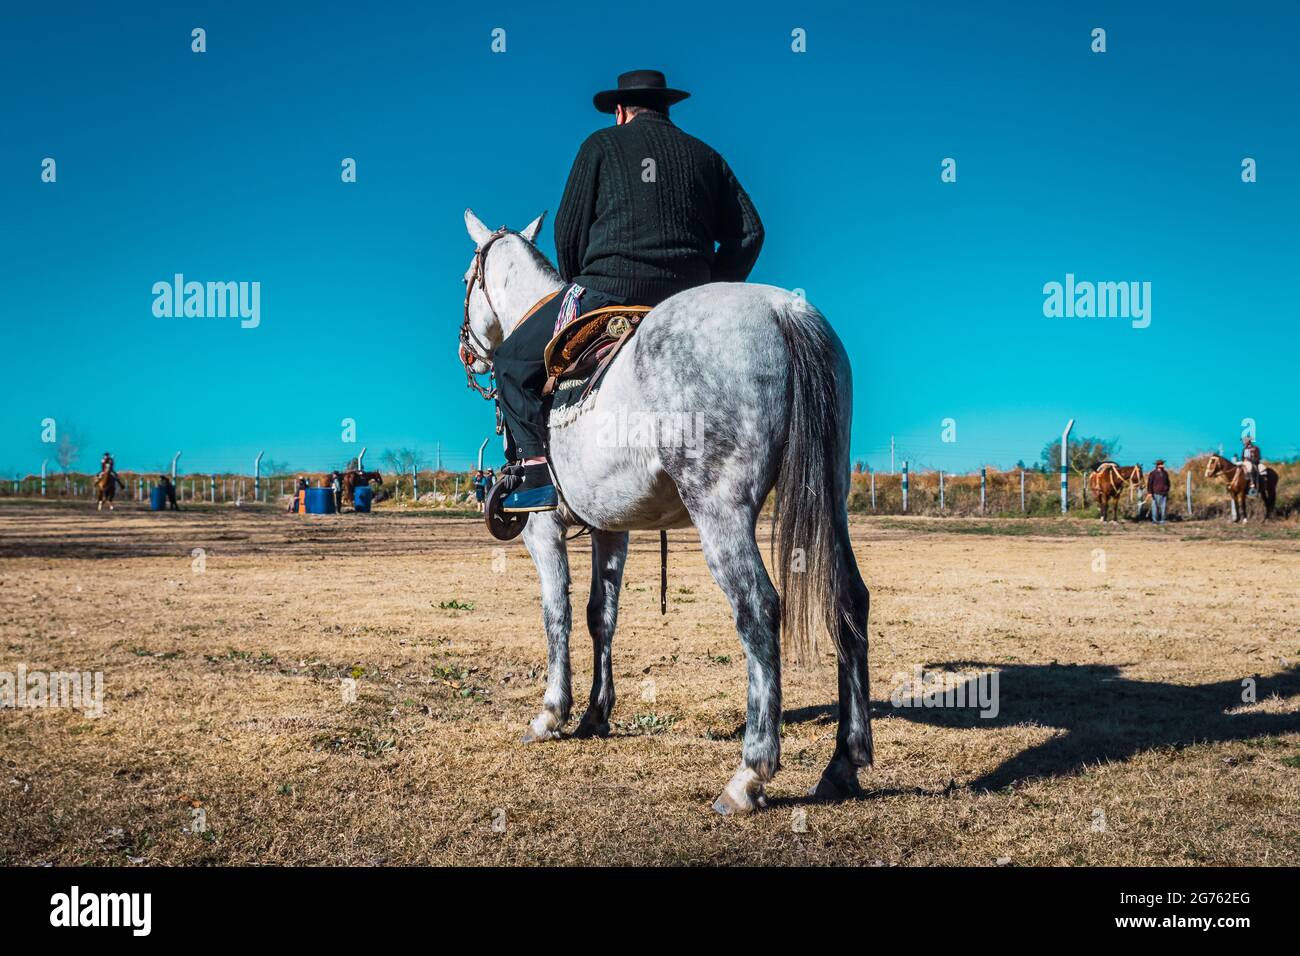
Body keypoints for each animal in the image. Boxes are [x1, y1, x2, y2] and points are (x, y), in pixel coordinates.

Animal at [457, 209, 872, 814]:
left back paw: (750, 774)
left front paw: (551, 713)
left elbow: (557, 613)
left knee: (758, 609)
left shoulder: (542, 528)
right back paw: (844, 761)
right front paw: (595, 715)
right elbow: (600, 615)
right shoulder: (612, 530)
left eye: (467, 278)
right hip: (831, 498)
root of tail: (785, 312)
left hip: (720, 509)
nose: (467, 351)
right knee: (847, 599)